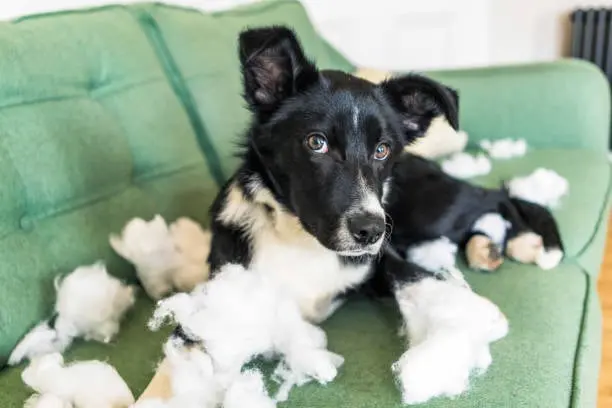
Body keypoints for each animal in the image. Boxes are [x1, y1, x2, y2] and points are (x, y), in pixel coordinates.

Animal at [169, 26, 564, 404]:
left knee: (498, 197)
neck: (301, 241)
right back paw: (487, 248)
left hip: (430, 210)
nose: (370, 231)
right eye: (316, 142)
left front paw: (466, 314)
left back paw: (527, 242)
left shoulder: (380, 258)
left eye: (382, 149)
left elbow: (413, 277)